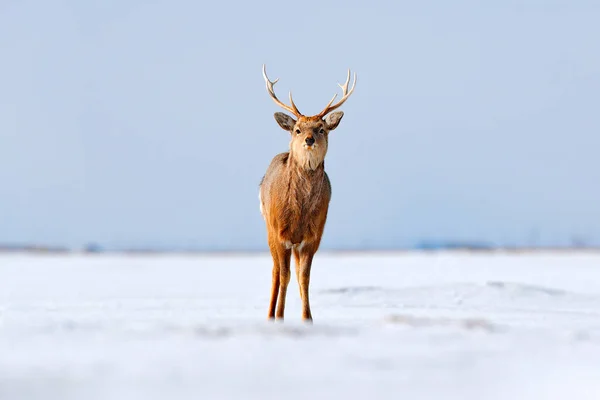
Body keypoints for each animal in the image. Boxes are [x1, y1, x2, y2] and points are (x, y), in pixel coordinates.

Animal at [258, 65, 356, 322]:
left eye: (321, 128)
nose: (309, 139)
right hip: (269, 227)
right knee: (275, 271)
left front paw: (307, 318)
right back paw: (270, 314)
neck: (299, 210)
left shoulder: (313, 236)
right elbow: (284, 276)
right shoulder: (280, 233)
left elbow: (304, 277)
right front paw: (280, 316)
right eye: (297, 129)